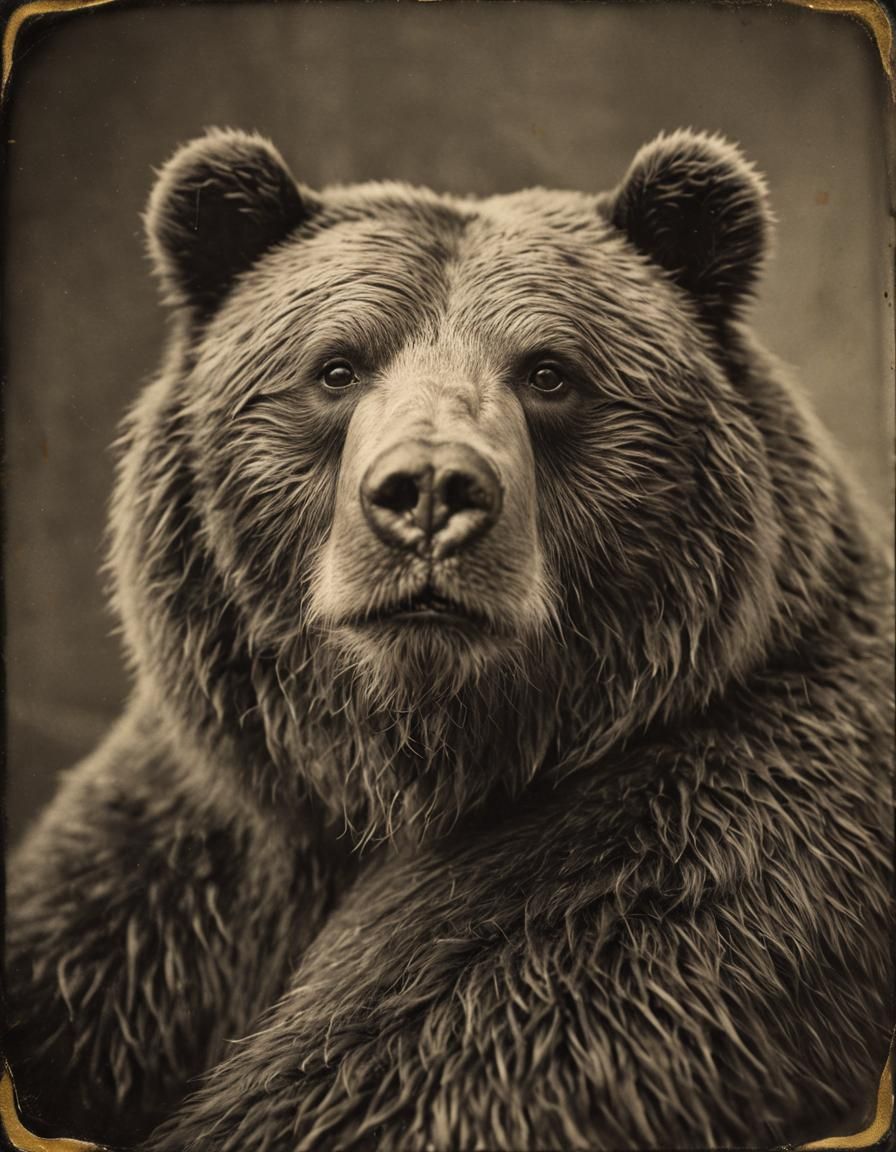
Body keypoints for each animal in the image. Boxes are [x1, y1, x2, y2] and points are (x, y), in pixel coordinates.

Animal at [4, 127, 892, 1152]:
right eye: (336, 366)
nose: (428, 489)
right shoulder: (169, 882)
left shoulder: (677, 888)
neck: (422, 763)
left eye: (549, 371)